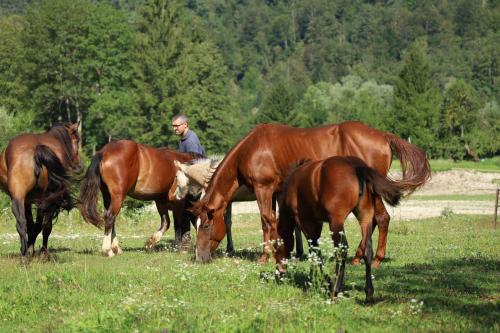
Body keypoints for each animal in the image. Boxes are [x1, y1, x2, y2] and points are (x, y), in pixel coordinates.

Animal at [0, 123, 82, 258]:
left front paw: (29, 248)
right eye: (77, 140)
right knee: (43, 226)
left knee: (22, 223)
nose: (79, 164)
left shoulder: (27, 200)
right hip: (47, 199)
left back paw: (25, 254)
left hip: (21, 197)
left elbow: (30, 224)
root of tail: (37, 149)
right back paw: (36, 252)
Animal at [188, 120, 430, 264]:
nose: (199, 258)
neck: (252, 148)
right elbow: (275, 222)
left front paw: (266, 256)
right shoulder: (274, 192)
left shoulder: (263, 189)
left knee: (381, 219)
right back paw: (359, 257)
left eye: (206, 225)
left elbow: (266, 221)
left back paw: (374, 259)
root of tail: (382, 135)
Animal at [272, 156, 404, 300]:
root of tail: (355, 166)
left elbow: (315, 250)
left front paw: (323, 281)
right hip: (365, 217)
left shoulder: (306, 222)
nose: (279, 272)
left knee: (342, 250)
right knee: (367, 249)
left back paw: (335, 290)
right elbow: (315, 251)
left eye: (276, 246)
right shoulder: (317, 223)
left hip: (336, 222)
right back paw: (368, 292)